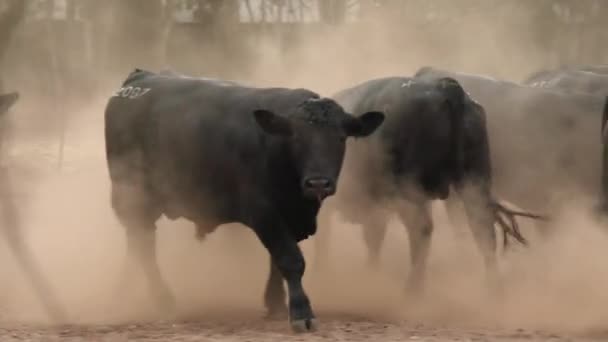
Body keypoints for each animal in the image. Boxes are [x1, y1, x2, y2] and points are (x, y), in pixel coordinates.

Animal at [102, 69, 382, 332]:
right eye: (296, 137)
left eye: (340, 138)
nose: (318, 183)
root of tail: (139, 79)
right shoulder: (263, 213)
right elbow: (290, 259)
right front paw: (301, 313)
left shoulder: (289, 217)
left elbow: (276, 260)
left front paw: (275, 304)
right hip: (133, 196)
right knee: (144, 247)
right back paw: (163, 300)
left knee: (136, 243)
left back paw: (122, 290)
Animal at [314, 77, 540, 292]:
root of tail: (446, 88)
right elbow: (373, 241)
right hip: (474, 184)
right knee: (483, 231)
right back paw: (494, 289)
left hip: (410, 191)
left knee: (421, 231)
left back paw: (413, 289)